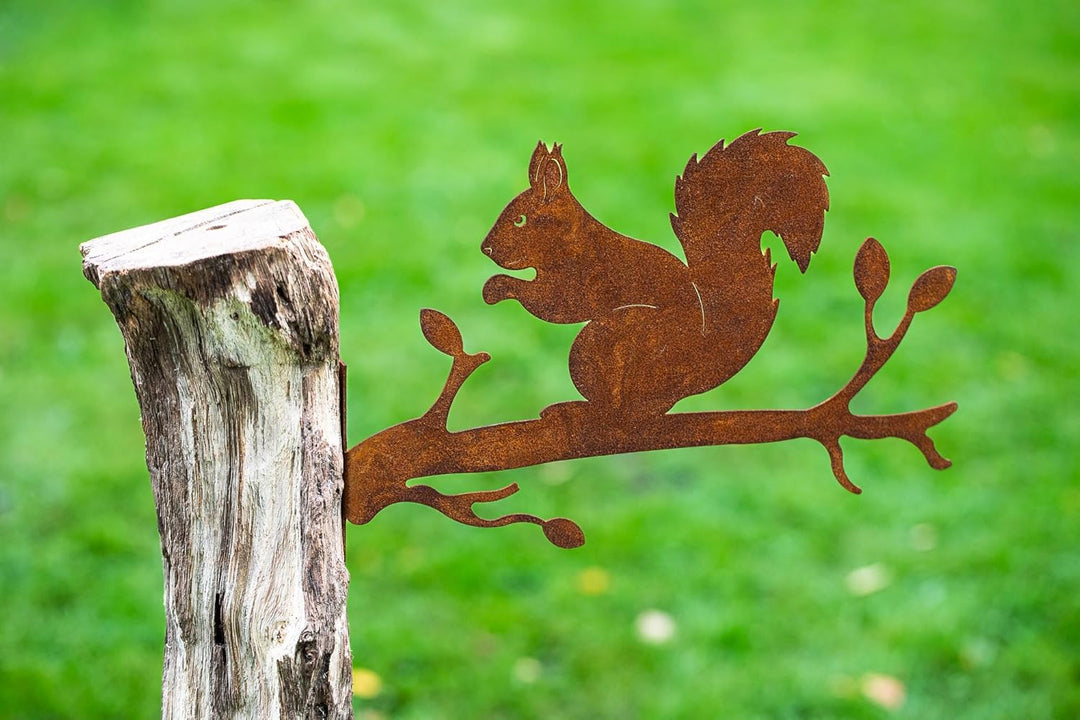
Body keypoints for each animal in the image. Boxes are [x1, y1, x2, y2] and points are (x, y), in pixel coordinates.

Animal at [480, 130, 829, 419]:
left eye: (520, 220)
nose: (486, 248)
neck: (571, 239)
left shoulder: (584, 278)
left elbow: (553, 304)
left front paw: (497, 287)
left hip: (607, 344)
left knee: (622, 410)